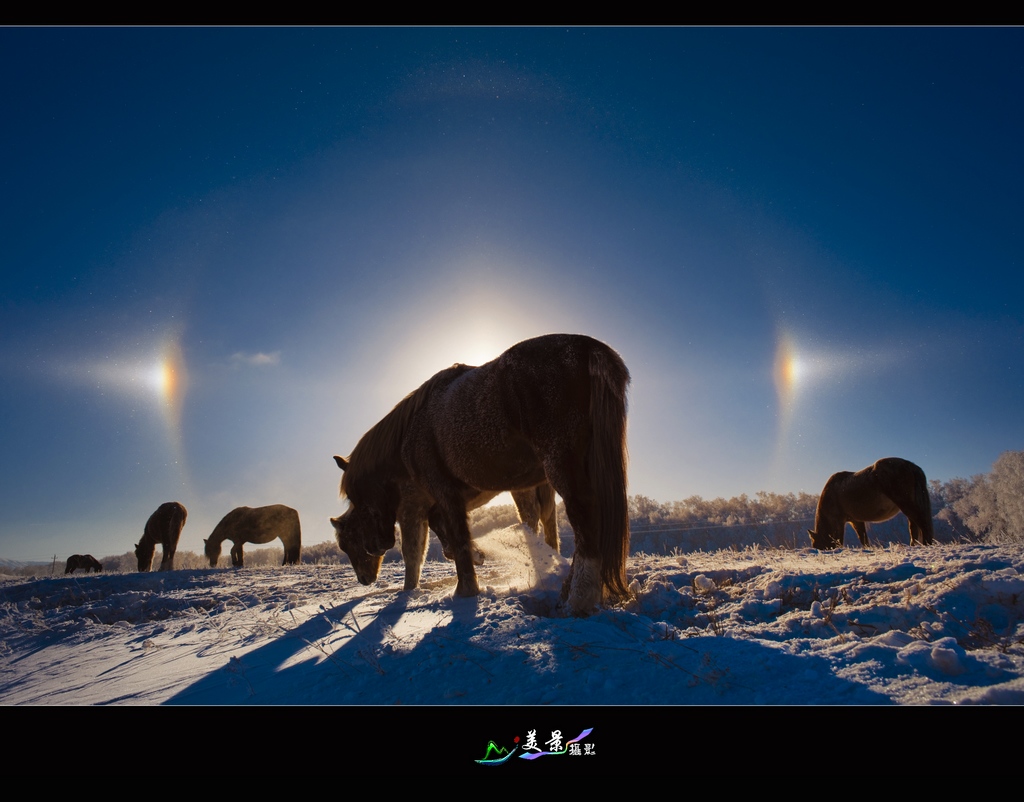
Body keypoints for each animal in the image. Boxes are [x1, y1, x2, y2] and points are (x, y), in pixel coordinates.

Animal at [333, 458, 561, 589]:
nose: (364, 579)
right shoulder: (433, 510)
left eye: (350, 542)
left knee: (530, 516)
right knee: (548, 519)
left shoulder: (413, 510)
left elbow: (411, 553)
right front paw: (476, 554)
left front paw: (408, 592)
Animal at [806, 458, 937, 553]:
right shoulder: (856, 520)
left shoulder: (839, 521)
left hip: (906, 504)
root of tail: (910, 465)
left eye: (818, 545)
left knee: (922, 523)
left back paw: (926, 545)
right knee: (914, 527)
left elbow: (840, 538)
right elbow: (863, 538)